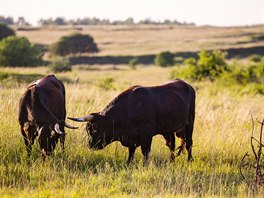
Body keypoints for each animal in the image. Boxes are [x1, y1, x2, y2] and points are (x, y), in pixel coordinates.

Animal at [68, 79, 196, 166]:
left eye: (94, 129)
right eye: (87, 129)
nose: (90, 144)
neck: (128, 108)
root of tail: (186, 84)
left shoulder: (146, 134)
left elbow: (145, 151)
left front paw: (145, 166)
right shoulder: (131, 138)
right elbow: (131, 151)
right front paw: (128, 163)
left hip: (190, 123)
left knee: (189, 143)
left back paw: (190, 160)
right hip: (168, 129)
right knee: (171, 145)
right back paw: (171, 161)